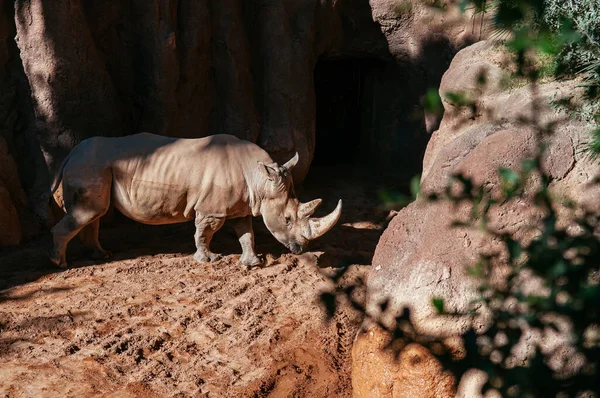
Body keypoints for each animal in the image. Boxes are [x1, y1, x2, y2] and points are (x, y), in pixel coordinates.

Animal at [48, 133, 342, 268]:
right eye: (288, 219)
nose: (300, 250)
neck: (260, 177)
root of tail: (70, 154)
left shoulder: (241, 206)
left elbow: (246, 233)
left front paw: (253, 263)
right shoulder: (212, 210)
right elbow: (204, 233)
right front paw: (208, 260)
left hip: (94, 166)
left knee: (94, 213)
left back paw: (100, 255)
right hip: (91, 165)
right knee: (89, 213)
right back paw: (59, 264)